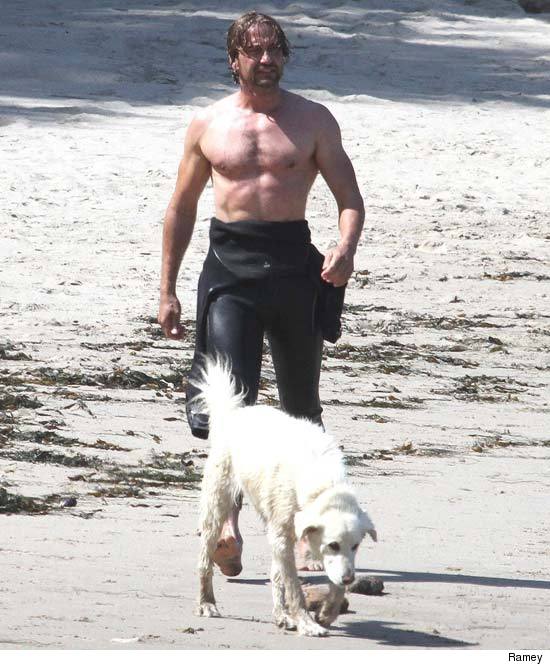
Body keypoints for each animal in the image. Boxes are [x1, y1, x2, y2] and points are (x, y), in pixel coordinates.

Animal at [193, 356, 377, 637]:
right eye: (333, 544)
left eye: (355, 546)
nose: (350, 579)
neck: (321, 482)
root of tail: (235, 414)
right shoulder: (282, 537)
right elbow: (294, 588)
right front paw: (308, 623)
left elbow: (322, 582)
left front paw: (327, 613)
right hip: (218, 505)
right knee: (205, 559)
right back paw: (206, 603)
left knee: (275, 574)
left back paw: (282, 616)